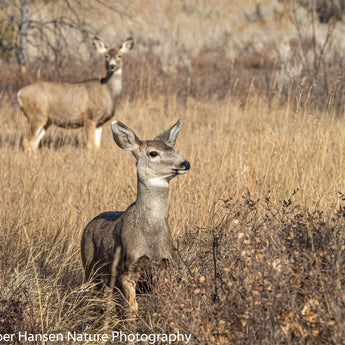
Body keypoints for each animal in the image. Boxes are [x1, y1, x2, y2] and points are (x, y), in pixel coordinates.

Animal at [80, 119, 189, 314]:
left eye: (173, 149)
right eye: (153, 153)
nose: (185, 163)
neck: (150, 236)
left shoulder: (166, 266)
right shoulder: (126, 269)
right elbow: (132, 308)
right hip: (90, 268)